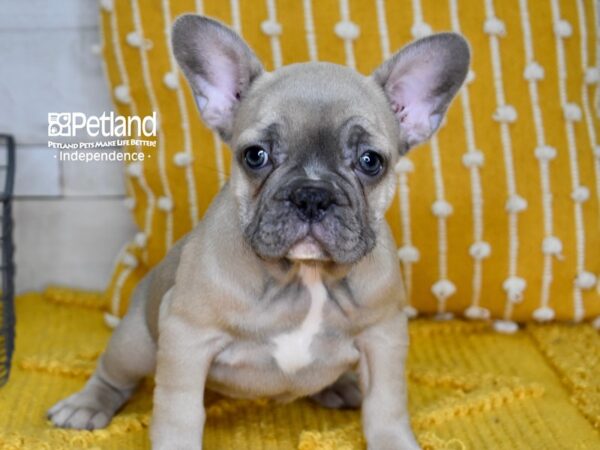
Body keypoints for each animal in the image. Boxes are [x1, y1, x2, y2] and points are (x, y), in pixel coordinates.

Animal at [47, 14, 468, 450]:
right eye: (255, 156)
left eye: (371, 161)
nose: (311, 195)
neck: (304, 277)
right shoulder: (186, 335)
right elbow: (179, 411)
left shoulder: (383, 336)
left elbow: (386, 404)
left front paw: (392, 438)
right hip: (136, 343)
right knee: (114, 373)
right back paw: (85, 405)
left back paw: (340, 386)